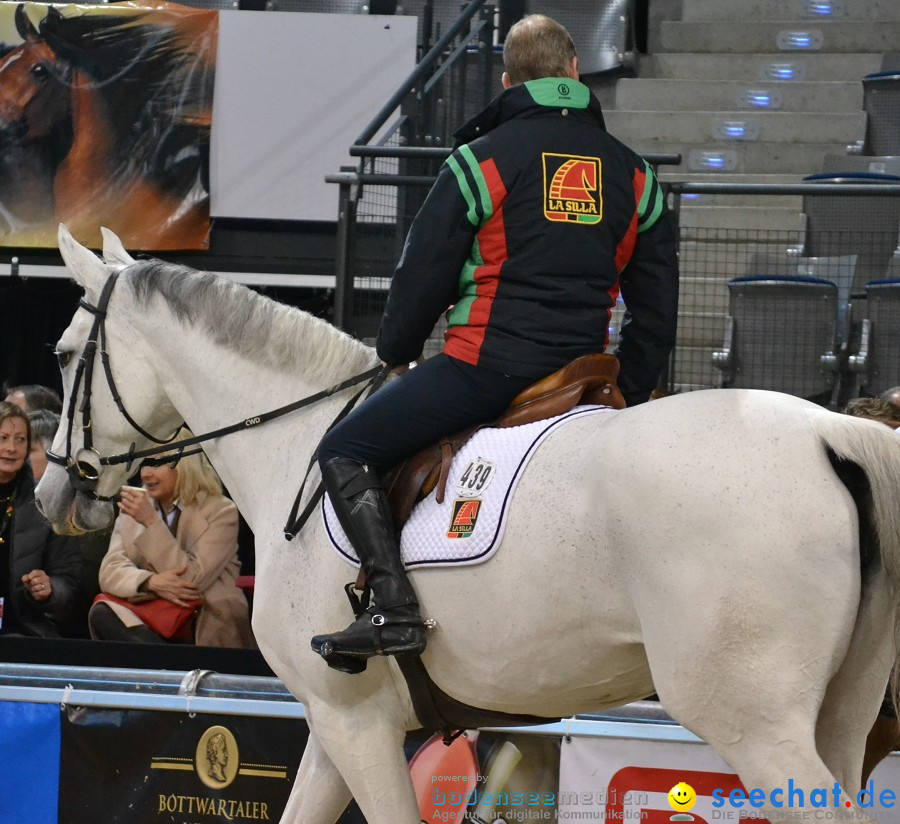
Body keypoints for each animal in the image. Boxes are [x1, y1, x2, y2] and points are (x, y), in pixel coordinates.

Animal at [38, 229, 900, 824]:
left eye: (66, 351)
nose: (50, 492)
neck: (295, 441)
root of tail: (832, 432)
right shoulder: (335, 723)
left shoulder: (354, 724)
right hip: (841, 722)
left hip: (756, 728)